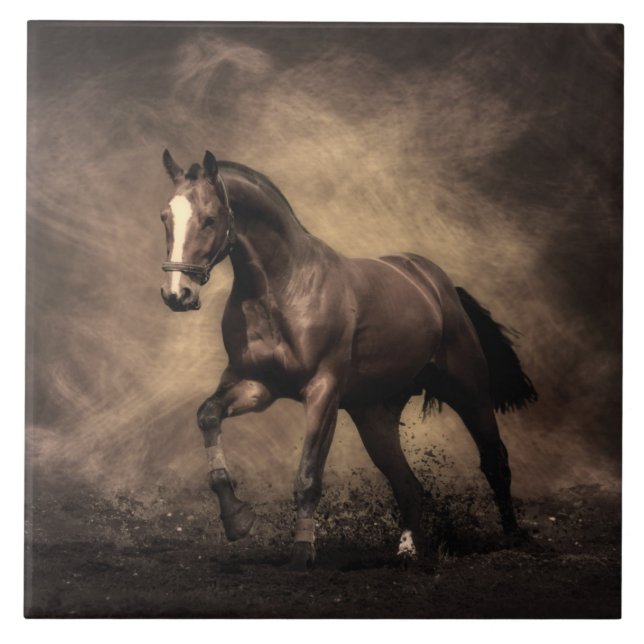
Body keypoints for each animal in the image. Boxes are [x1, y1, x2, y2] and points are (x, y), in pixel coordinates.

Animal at [159, 149, 537, 570]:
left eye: (210, 219)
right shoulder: (256, 385)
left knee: (495, 460)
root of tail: (438, 286)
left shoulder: (323, 392)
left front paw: (302, 553)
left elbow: (308, 476)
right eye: (165, 217)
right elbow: (208, 416)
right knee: (407, 484)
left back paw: (512, 538)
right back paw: (410, 552)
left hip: (469, 391)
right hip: (375, 416)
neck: (282, 288)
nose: (177, 294)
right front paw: (237, 519)